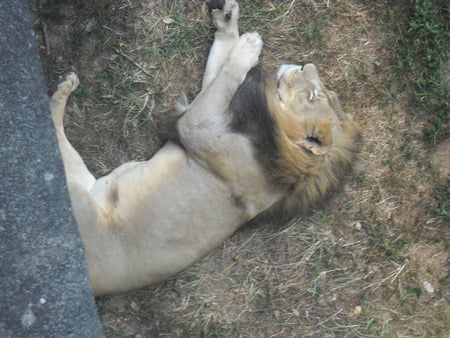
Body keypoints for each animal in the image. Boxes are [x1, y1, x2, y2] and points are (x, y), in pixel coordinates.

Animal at [49, 0, 358, 296]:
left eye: (313, 95)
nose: (306, 63)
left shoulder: (194, 125)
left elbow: (228, 73)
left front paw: (248, 45)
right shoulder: (213, 110)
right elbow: (218, 68)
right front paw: (230, 22)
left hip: (73, 192)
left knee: (54, 132)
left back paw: (62, 89)